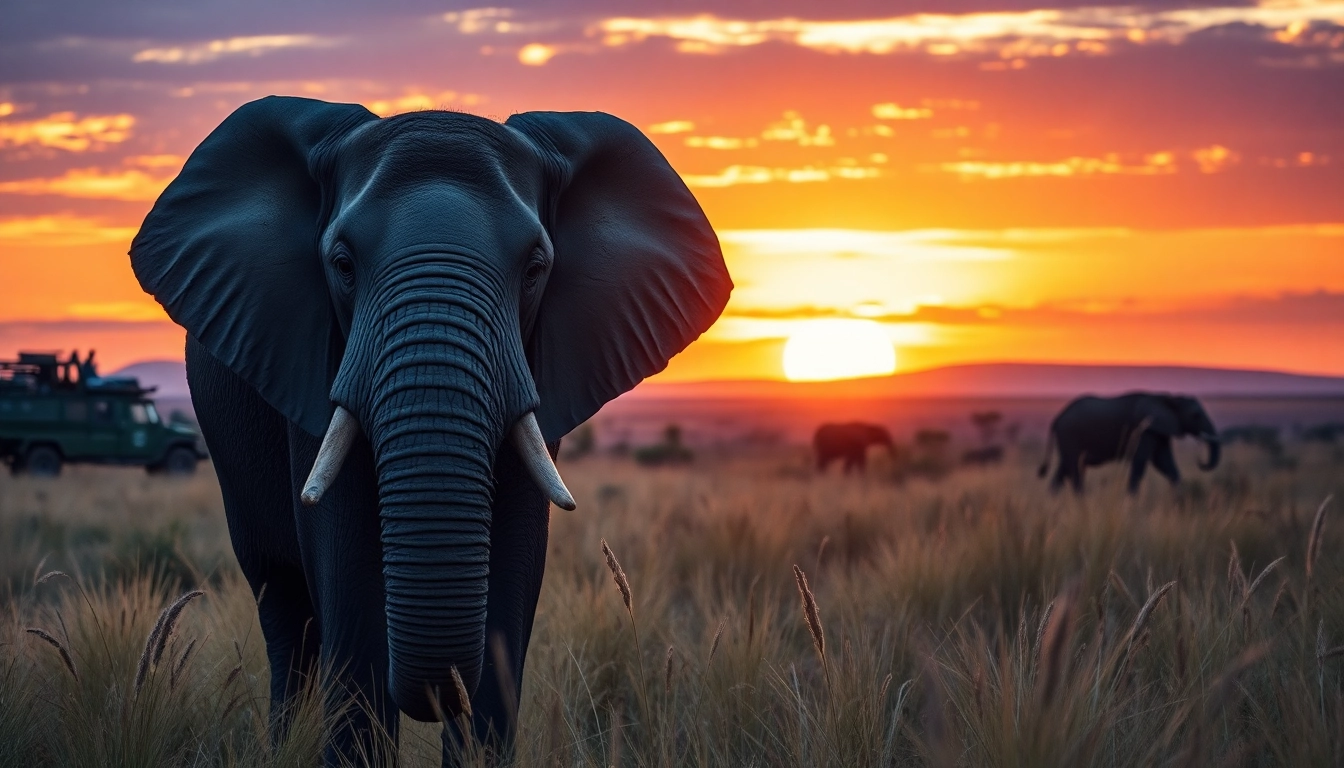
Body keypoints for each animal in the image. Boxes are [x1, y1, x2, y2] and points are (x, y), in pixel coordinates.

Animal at [129, 96, 731, 763]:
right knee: (286, 609)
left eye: (536, 267)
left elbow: (510, 590)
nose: (433, 696)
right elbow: (352, 595)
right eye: (342, 264)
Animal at [1037, 392, 1220, 493]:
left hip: (1068, 437)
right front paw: (1131, 503)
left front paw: (1179, 497)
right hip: (1070, 434)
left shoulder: (1158, 429)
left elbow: (1164, 463)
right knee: (1073, 466)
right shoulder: (1144, 428)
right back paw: (1081, 501)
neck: (1167, 399)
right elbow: (1141, 461)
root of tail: (1057, 418)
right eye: (1195, 415)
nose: (1200, 460)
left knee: (1064, 467)